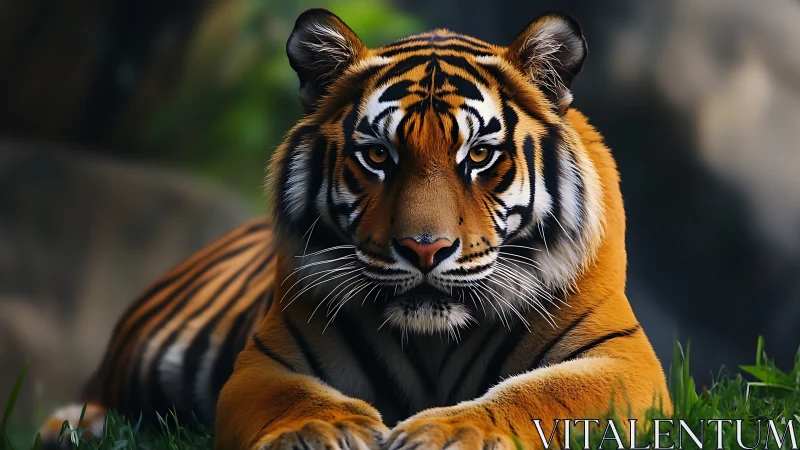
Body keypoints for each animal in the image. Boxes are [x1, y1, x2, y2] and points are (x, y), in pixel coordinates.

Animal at [40, 8, 670, 450]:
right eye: (377, 156)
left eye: (479, 155)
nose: (425, 249)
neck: (434, 342)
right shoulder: (267, 362)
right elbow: (295, 399)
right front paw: (323, 433)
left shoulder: (621, 360)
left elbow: (541, 395)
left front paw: (449, 432)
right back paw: (74, 428)